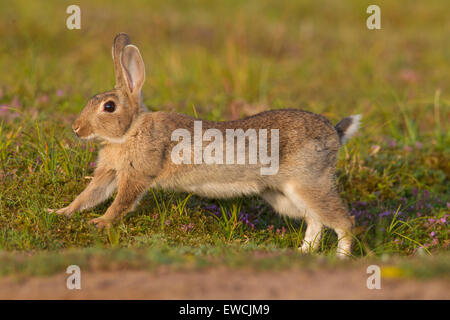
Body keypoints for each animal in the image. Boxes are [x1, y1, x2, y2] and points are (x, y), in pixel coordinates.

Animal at [46, 33, 362, 258]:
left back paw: (340, 258)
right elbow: (88, 196)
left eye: (109, 107)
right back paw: (303, 252)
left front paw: (100, 222)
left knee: (343, 221)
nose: (76, 128)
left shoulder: (136, 175)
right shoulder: (109, 173)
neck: (130, 131)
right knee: (315, 220)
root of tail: (334, 133)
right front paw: (59, 212)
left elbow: (121, 202)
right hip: (284, 196)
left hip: (309, 182)